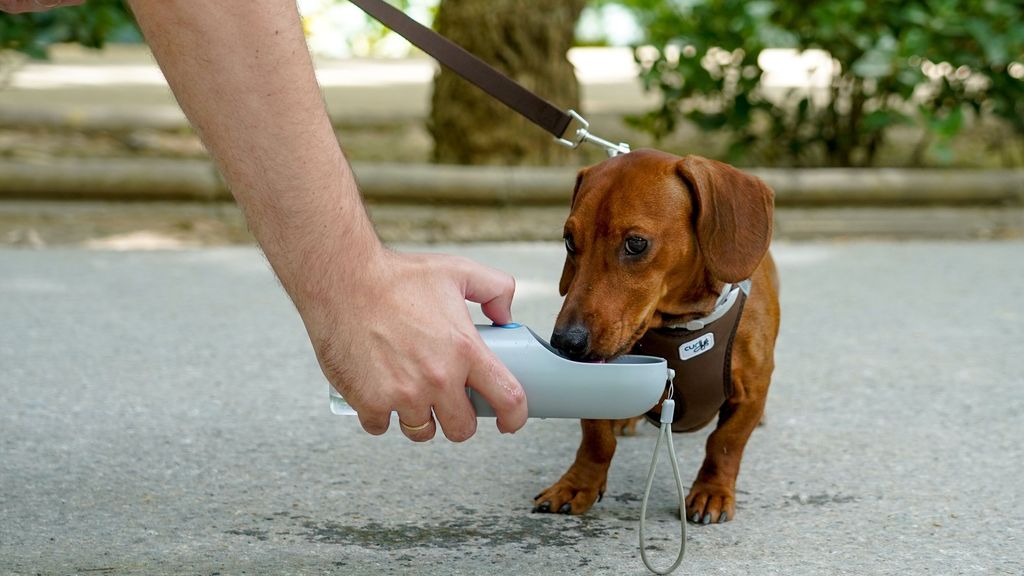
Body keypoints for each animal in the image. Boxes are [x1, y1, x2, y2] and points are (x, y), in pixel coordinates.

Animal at [532, 148, 778, 524]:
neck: (684, 327)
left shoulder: (751, 389)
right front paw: (577, 484)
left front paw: (712, 491)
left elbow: (725, 441)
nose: (566, 343)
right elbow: (596, 439)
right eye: (570, 240)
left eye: (635, 244)